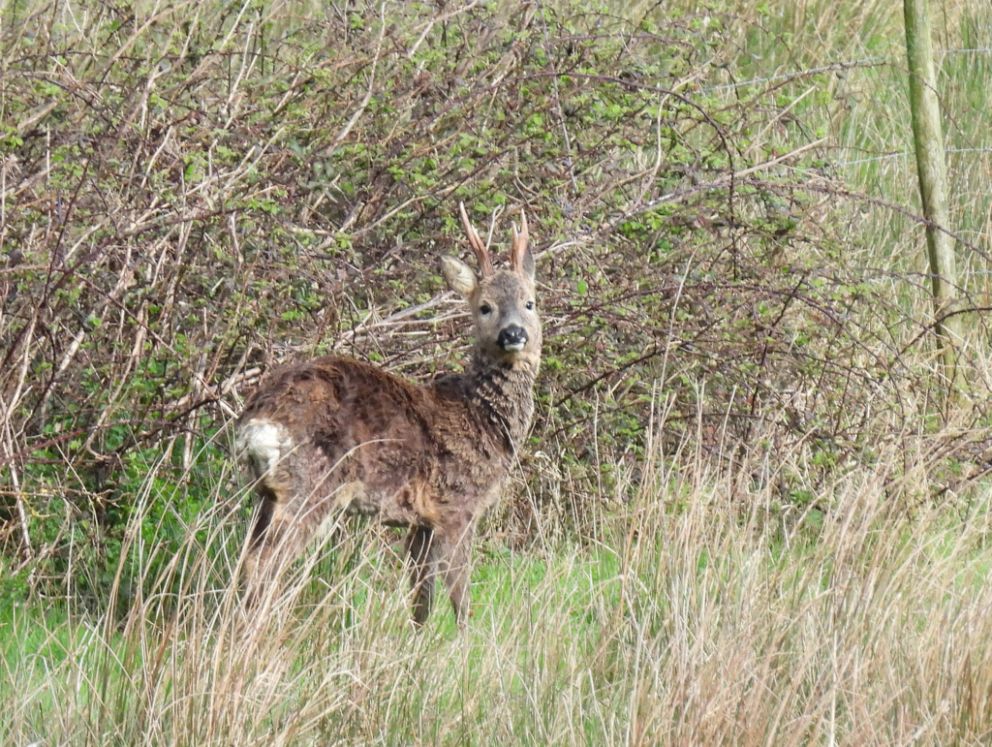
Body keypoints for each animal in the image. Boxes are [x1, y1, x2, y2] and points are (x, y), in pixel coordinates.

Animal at [234, 204, 541, 626]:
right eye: (485, 307)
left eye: (530, 302)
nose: (513, 334)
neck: (481, 419)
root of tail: (259, 421)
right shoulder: (456, 505)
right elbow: (460, 599)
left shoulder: (421, 521)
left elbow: (421, 600)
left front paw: (419, 640)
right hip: (311, 484)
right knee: (264, 563)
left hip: (267, 491)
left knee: (246, 559)